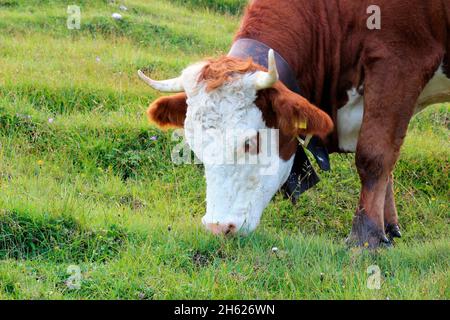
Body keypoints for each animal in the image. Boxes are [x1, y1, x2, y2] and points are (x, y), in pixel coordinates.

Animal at [138, 0, 450, 248]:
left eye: (251, 142)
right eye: (195, 147)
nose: (218, 227)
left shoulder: (398, 62)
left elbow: (375, 155)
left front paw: (366, 238)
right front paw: (388, 227)